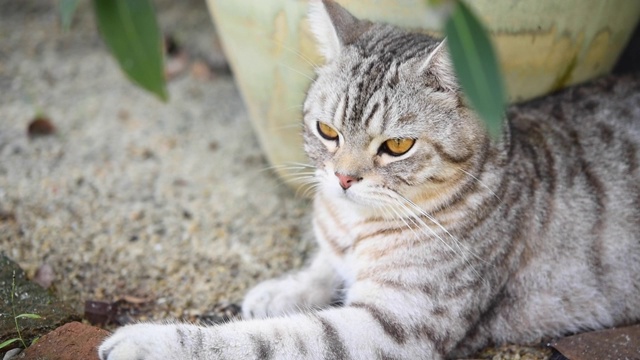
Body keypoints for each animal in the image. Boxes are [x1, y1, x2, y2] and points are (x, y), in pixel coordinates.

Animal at [96, 1, 640, 358]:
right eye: (327, 131)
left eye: (397, 146)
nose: (342, 178)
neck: (353, 223)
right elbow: (322, 264)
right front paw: (283, 291)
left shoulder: (392, 326)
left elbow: (273, 340)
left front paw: (149, 341)